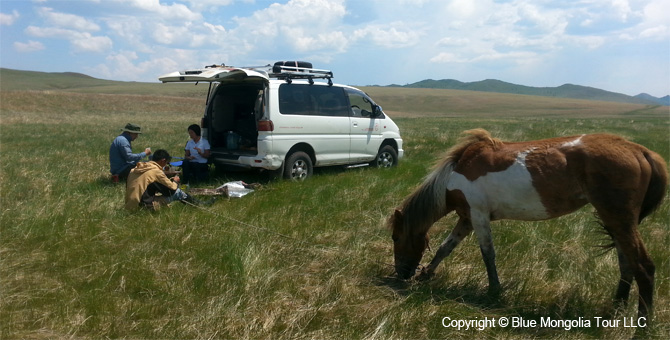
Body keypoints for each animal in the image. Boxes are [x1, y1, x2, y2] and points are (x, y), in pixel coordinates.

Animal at [392, 129, 668, 318]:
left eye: (395, 237)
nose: (401, 275)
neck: (456, 172)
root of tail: (639, 150)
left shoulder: (478, 216)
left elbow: (487, 254)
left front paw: (494, 291)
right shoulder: (467, 218)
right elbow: (445, 248)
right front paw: (427, 273)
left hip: (619, 219)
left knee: (643, 267)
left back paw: (642, 325)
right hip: (617, 221)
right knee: (627, 265)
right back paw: (615, 309)